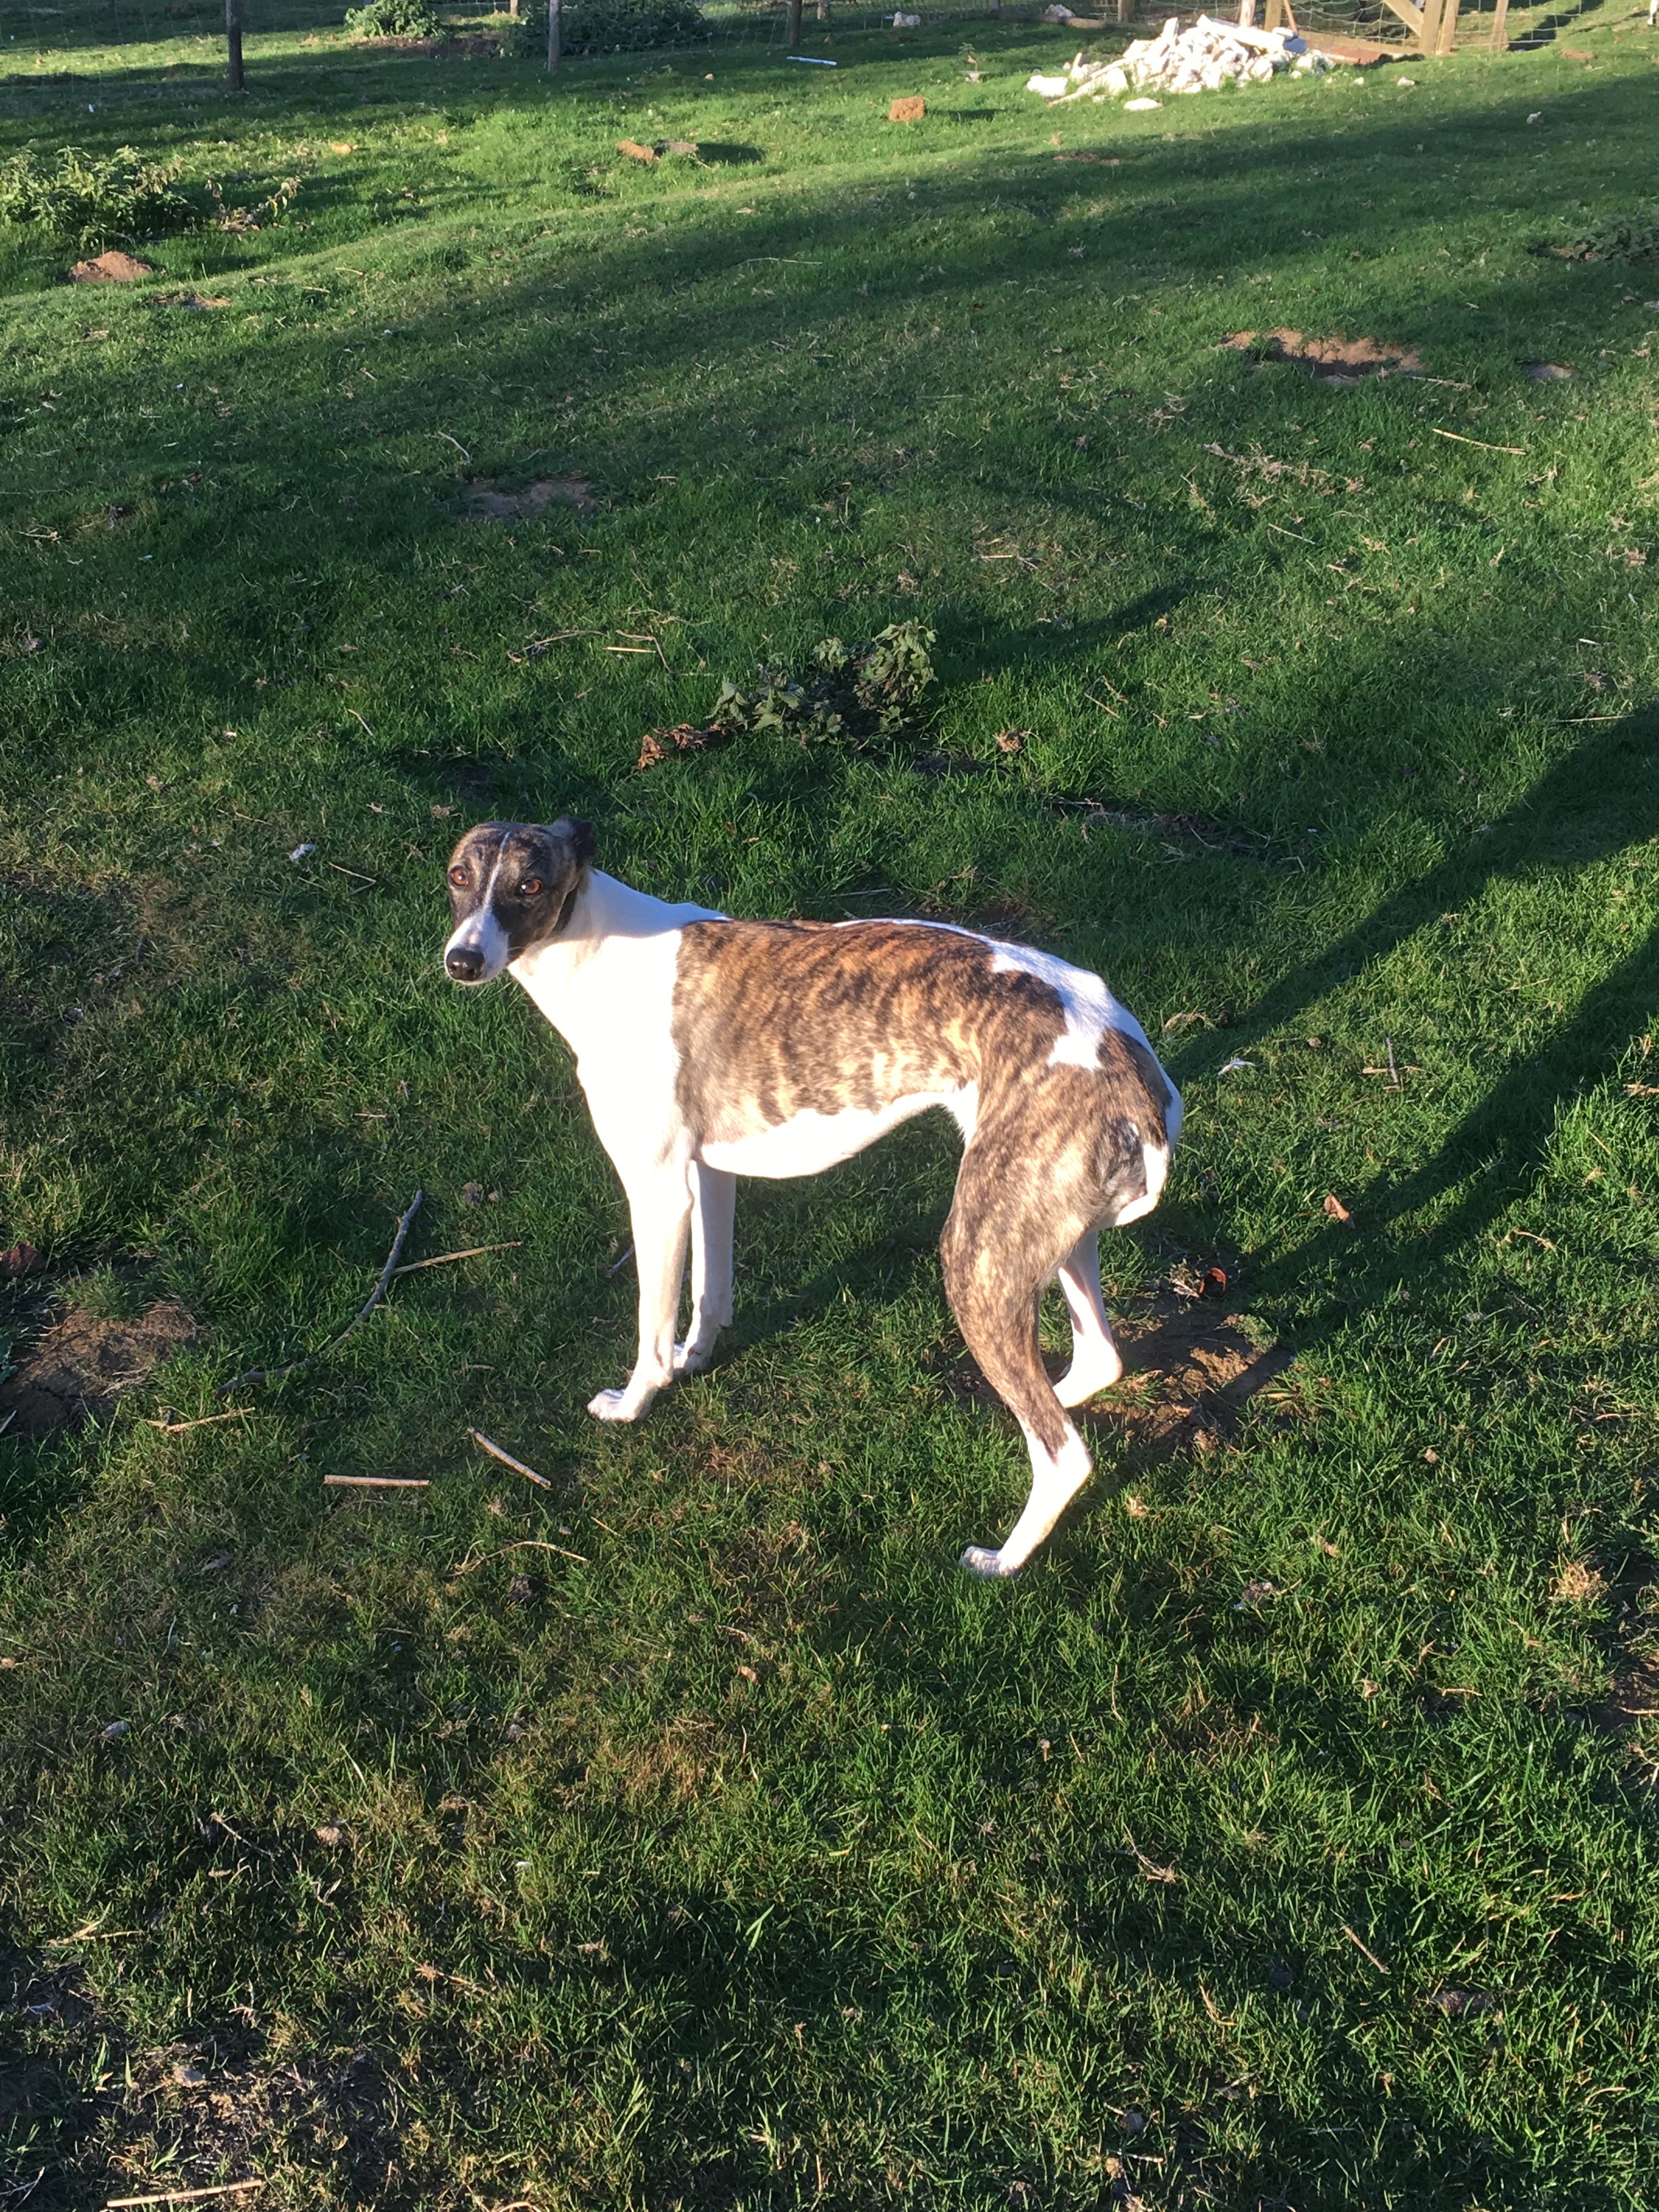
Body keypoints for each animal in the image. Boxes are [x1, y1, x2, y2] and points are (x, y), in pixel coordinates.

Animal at [444, 818, 1186, 1575]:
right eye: (458, 876)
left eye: (531, 884)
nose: (462, 962)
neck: (597, 947)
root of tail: (1133, 1066)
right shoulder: (707, 1175)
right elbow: (710, 1292)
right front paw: (695, 1360)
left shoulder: (656, 1190)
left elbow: (652, 1327)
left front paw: (636, 1401)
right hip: (1045, 1235)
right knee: (1095, 1362)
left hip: (977, 1257)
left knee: (1065, 1453)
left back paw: (1004, 1558)